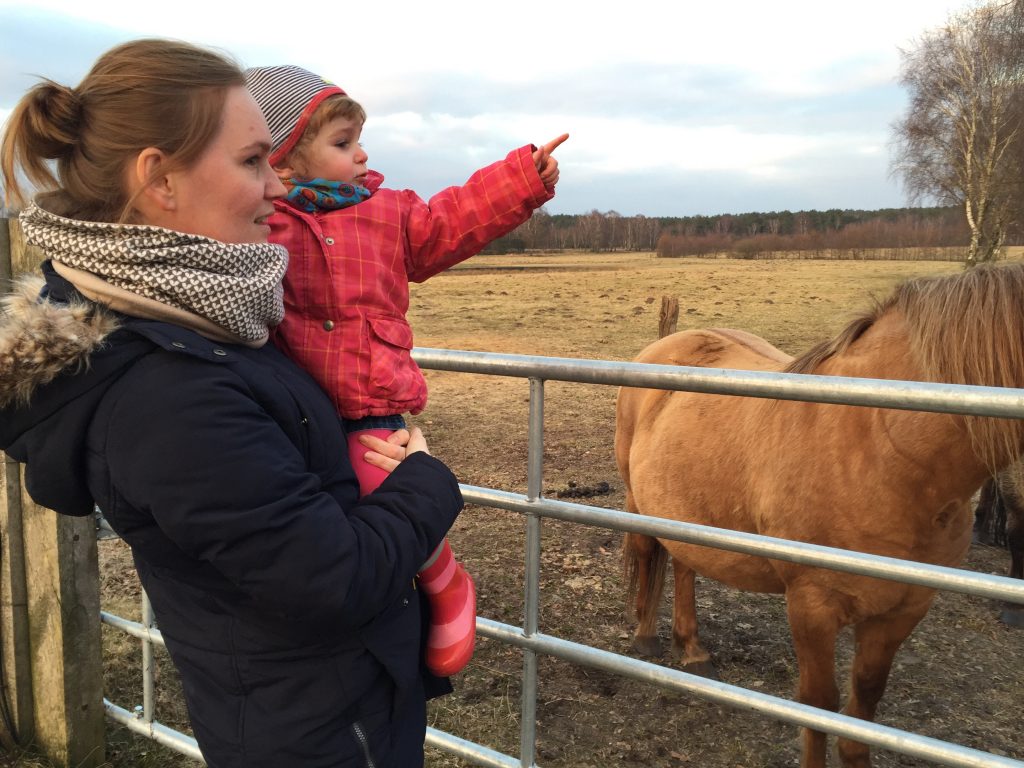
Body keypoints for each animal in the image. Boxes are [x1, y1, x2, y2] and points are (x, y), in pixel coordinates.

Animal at [614, 264, 1024, 768]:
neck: (882, 449)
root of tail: (667, 343)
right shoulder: (812, 605)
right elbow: (820, 704)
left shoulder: (903, 611)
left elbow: (863, 704)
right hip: (640, 500)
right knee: (648, 551)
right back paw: (647, 636)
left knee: (685, 563)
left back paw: (692, 648)